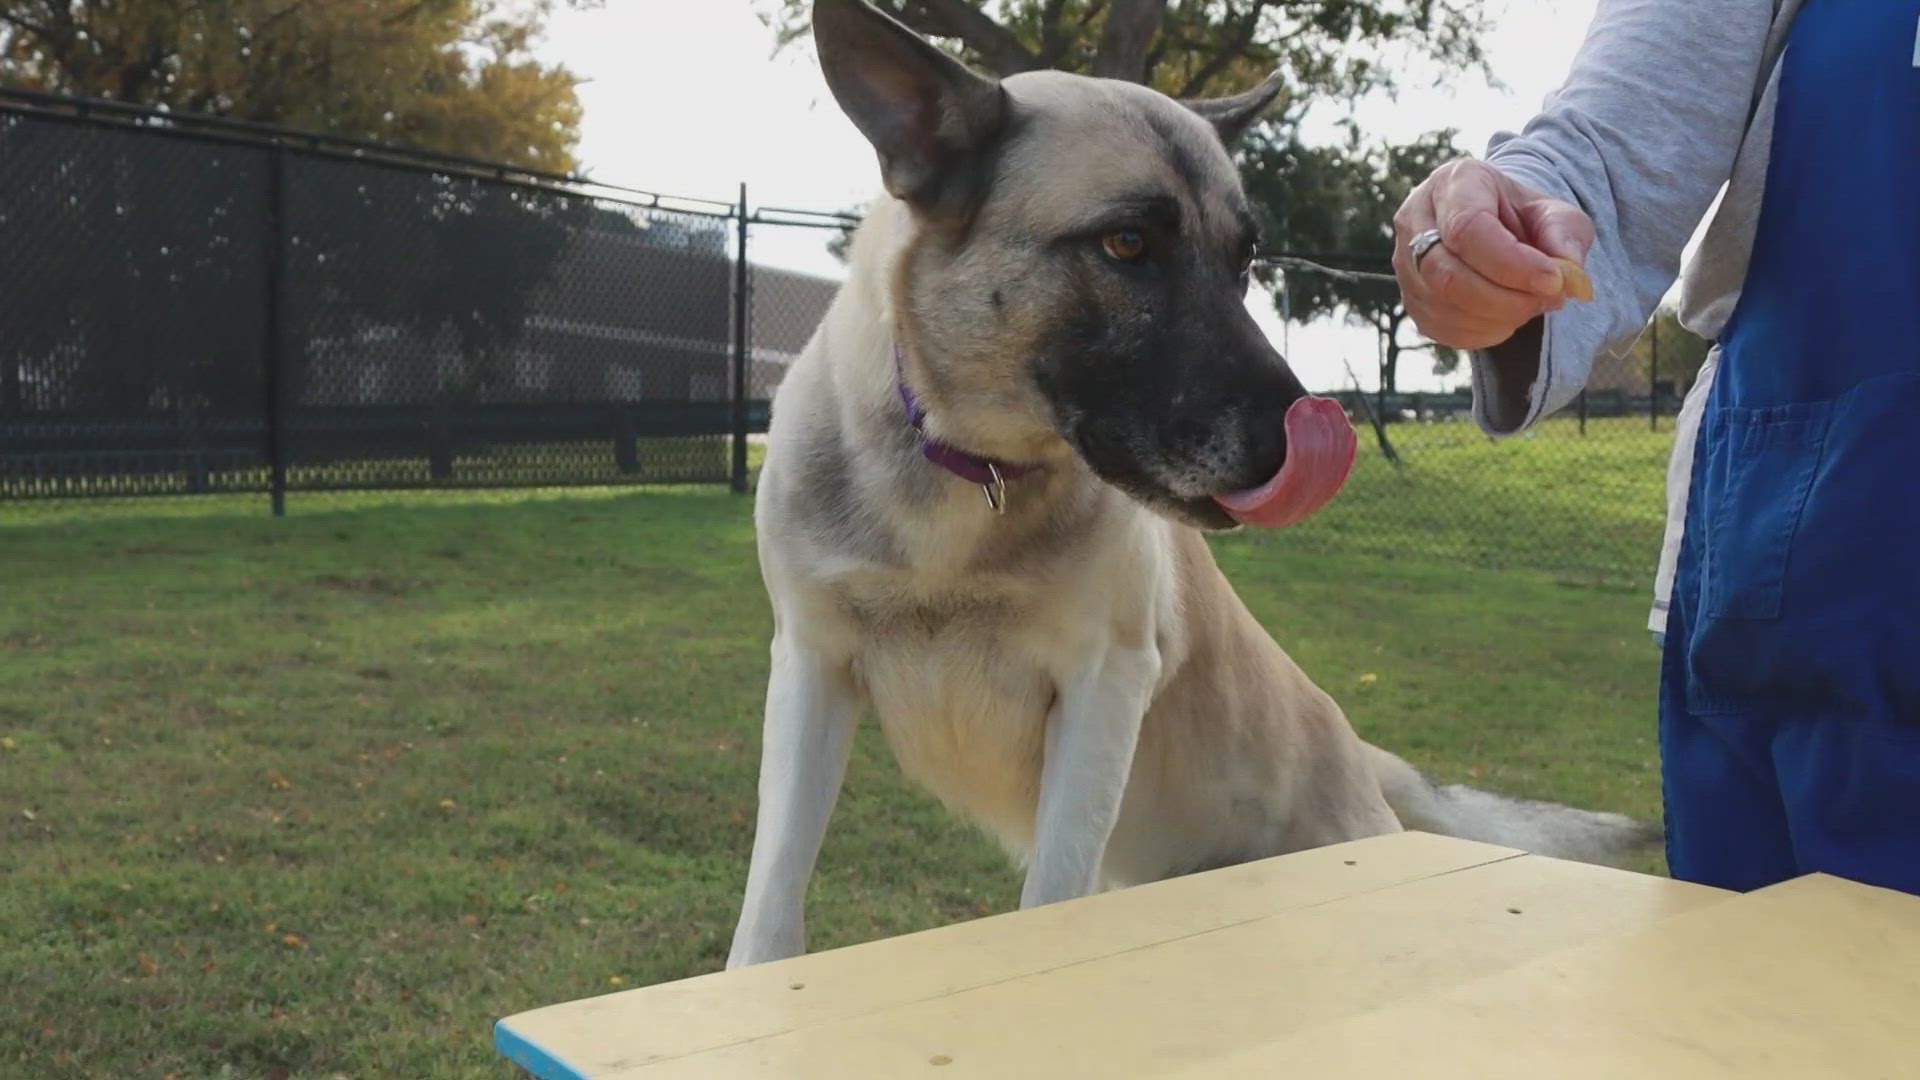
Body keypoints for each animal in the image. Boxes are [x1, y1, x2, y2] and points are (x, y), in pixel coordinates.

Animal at [725, 0, 1658, 968]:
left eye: (1244, 261)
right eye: (1127, 243)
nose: (1302, 445)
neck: (968, 478)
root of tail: (1361, 756)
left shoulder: (1103, 687)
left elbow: (1048, 896)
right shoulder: (811, 673)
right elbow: (770, 910)